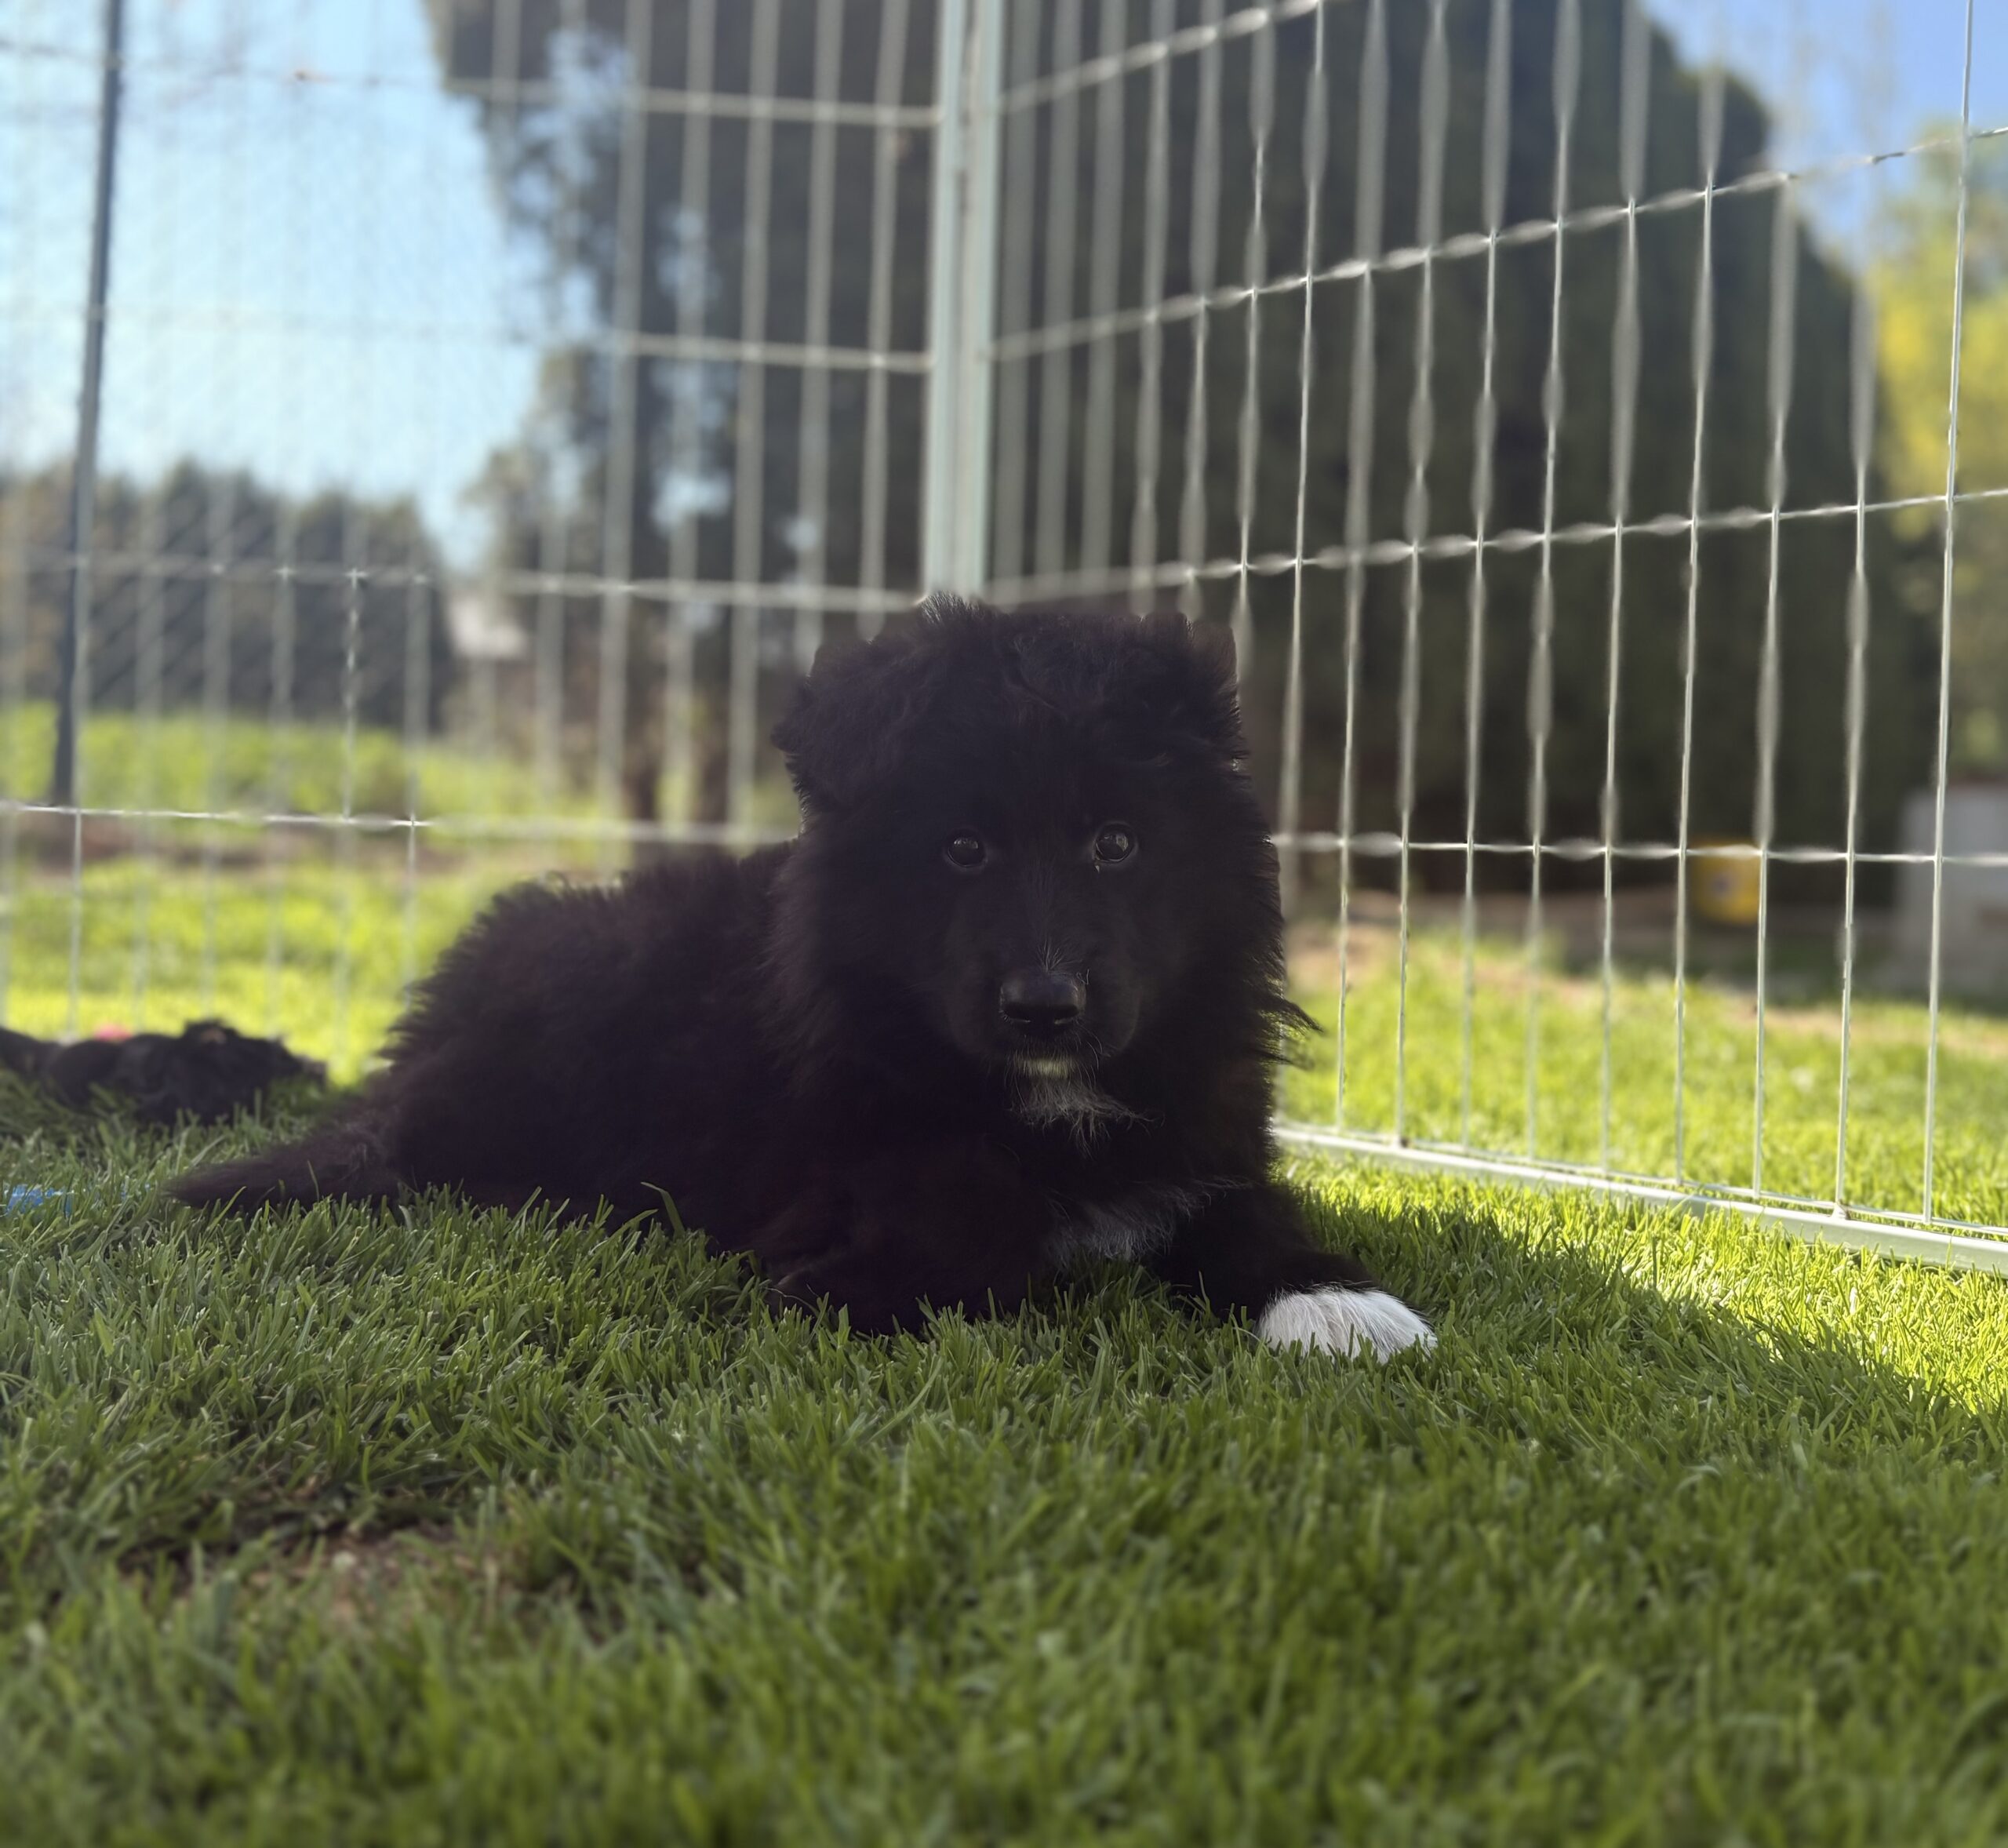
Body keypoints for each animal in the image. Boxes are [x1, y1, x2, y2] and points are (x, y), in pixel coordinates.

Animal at [172, 599, 1435, 1361]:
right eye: (962, 850)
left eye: (1117, 845)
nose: (1044, 1007)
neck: (1048, 1094)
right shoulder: (843, 1165)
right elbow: (975, 1218)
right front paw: (854, 1288)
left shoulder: (1207, 1134)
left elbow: (1245, 1211)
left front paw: (1341, 1301)